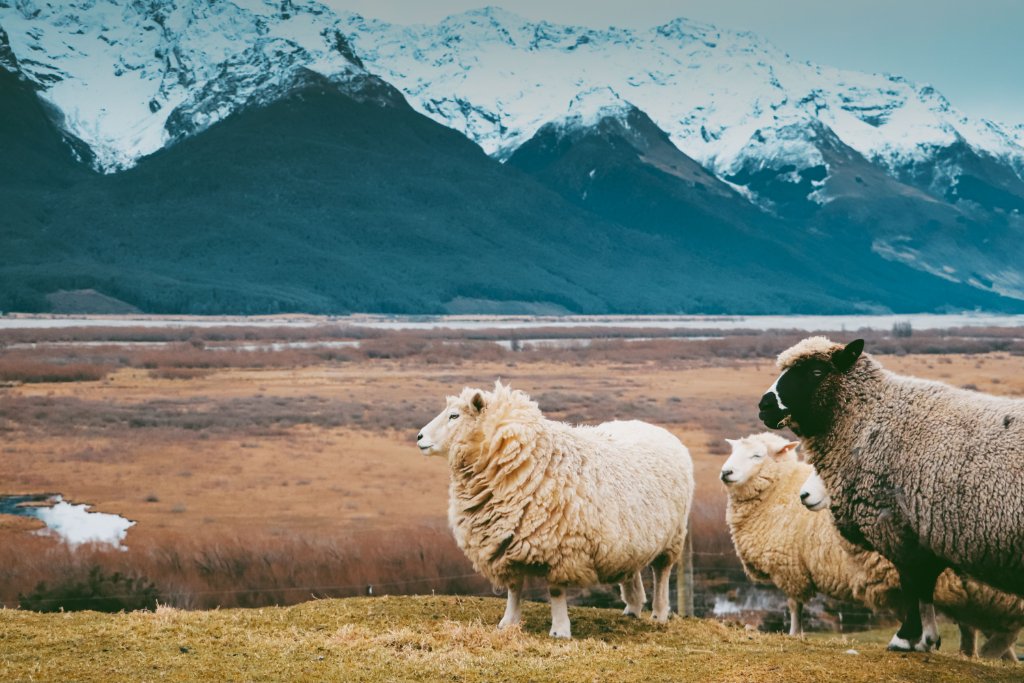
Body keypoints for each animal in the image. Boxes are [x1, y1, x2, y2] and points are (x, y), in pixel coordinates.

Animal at [416, 381, 694, 638]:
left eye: (454, 416)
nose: (419, 437)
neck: (529, 460)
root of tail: (656, 428)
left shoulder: (562, 547)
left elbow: (556, 590)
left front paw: (560, 630)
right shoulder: (505, 543)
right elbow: (514, 588)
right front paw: (509, 623)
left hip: (672, 536)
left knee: (662, 572)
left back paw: (659, 614)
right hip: (631, 536)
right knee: (632, 568)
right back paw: (633, 608)